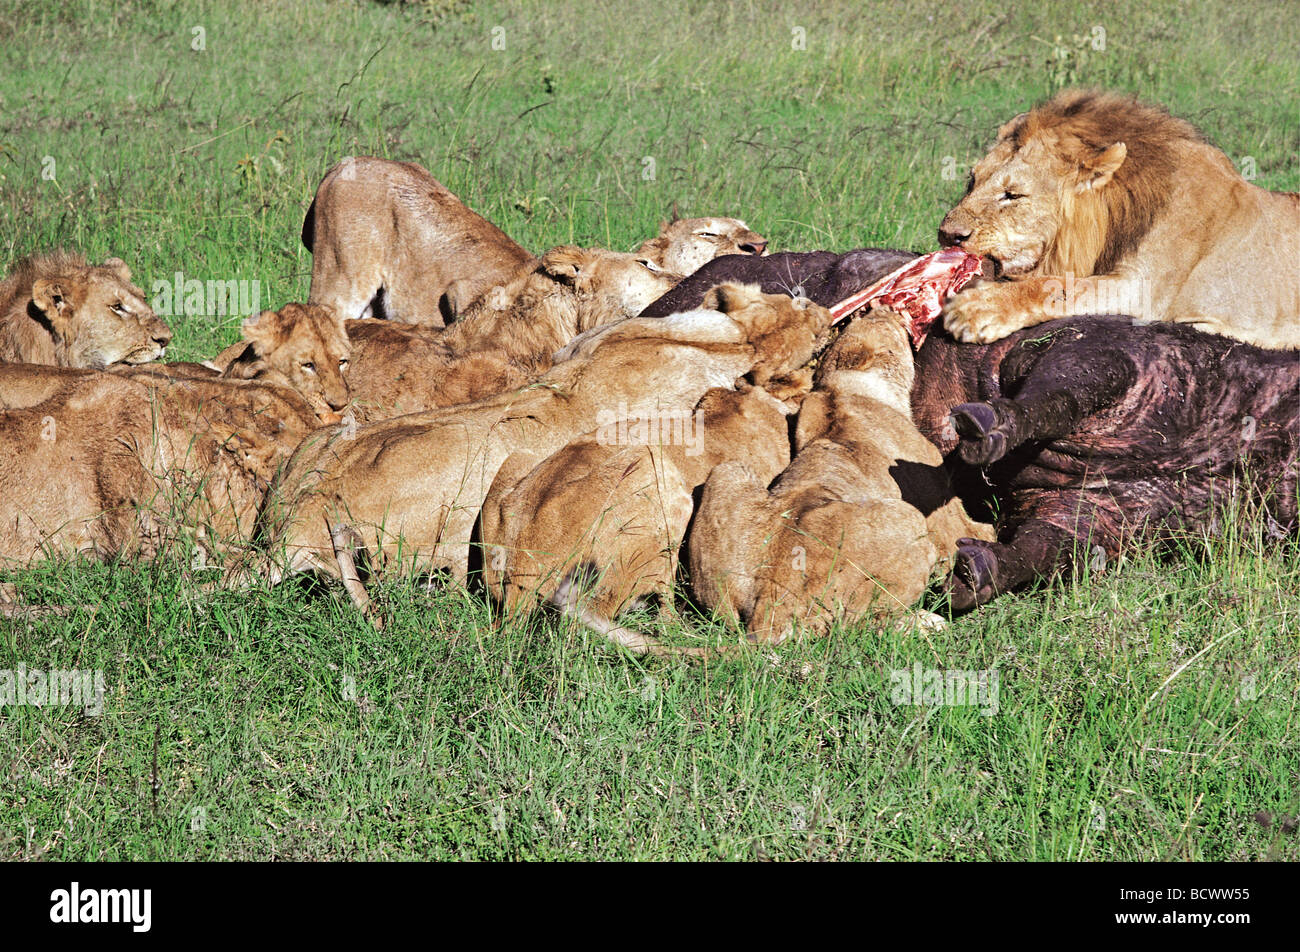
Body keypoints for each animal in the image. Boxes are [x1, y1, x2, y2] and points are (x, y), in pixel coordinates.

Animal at [935, 87, 1300, 348]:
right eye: (971, 181)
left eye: (1012, 195)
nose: (947, 234)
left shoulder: (1144, 288)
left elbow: (1061, 287)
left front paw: (978, 309)